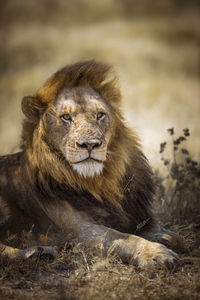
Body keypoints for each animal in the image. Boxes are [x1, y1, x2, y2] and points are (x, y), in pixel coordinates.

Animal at [0, 60, 181, 268]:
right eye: (66, 117)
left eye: (100, 115)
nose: (90, 145)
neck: (100, 183)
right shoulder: (77, 229)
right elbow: (119, 237)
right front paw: (155, 253)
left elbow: (172, 235)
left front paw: (163, 237)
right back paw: (38, 252)